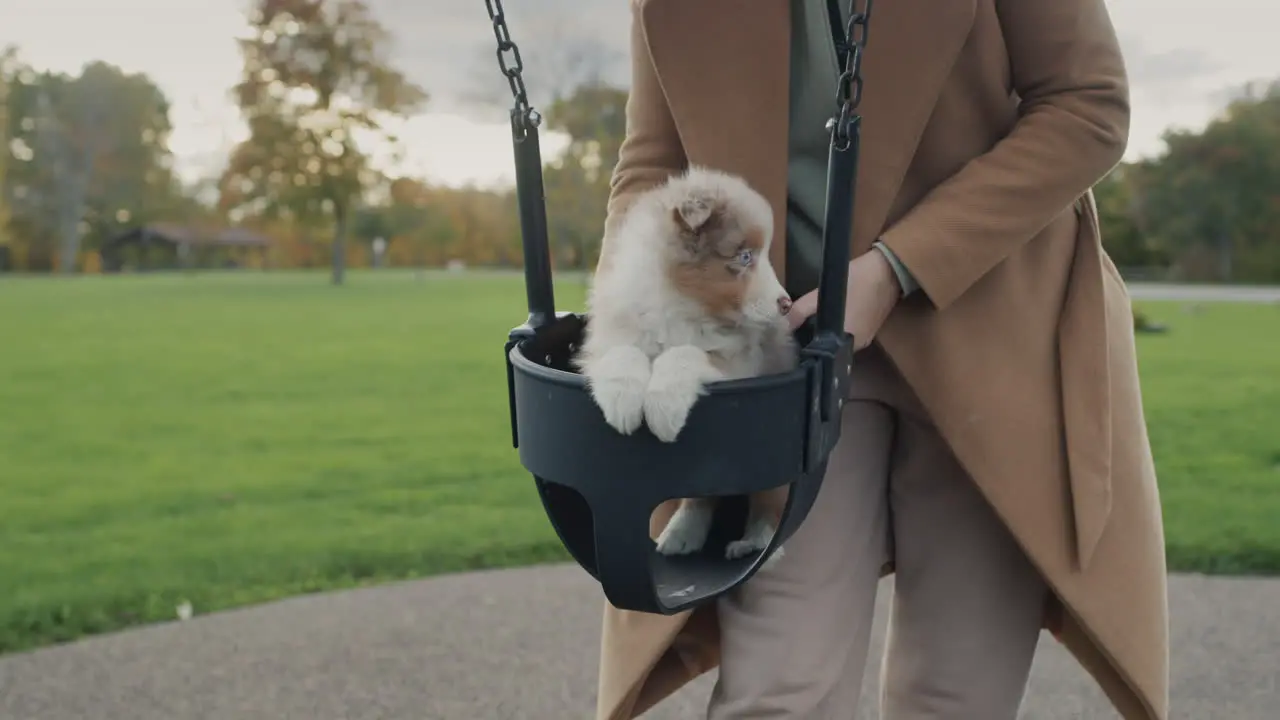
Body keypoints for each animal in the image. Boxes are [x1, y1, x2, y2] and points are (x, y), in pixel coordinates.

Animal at [576, 165, 793, 563]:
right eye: (744, 257)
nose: (785, 304)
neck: (679, 302)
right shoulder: (611, 334)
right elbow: (623, 352)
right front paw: (623, 403)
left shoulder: (738, 361)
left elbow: (685, 353)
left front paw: (660, 409)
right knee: (700, 497)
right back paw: (681, 534)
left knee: (768, 501)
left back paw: (756, 543)